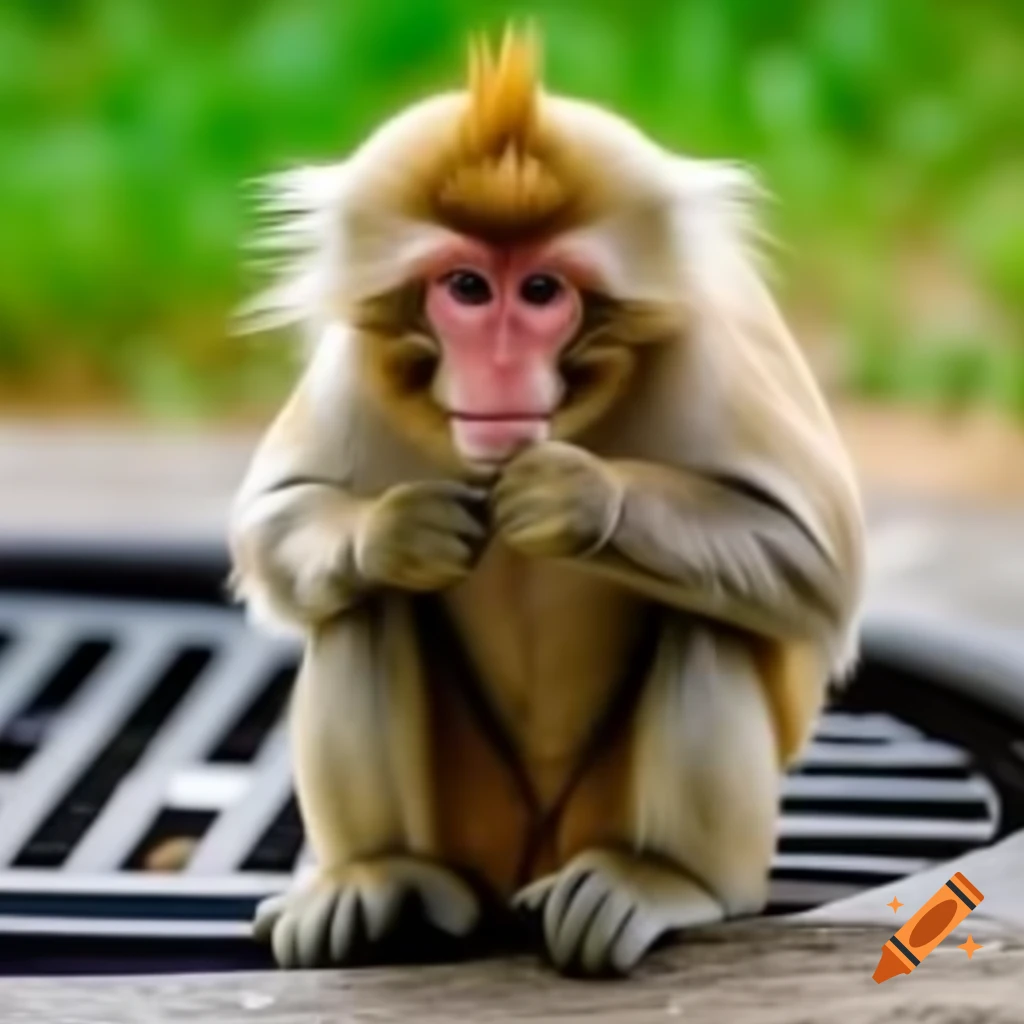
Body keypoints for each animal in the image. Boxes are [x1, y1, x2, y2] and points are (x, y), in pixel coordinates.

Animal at [228, 26, 865, 978]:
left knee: (706, 619)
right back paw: (383, 875)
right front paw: (398, 532)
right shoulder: (362, 367)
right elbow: (273, 521)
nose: (498, 365)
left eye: (539, 292)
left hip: (592, 816)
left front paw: (578, 500)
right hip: (476, 825)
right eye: (466, 288)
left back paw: (661, 878)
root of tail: (530, 859)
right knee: (363, 608)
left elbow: (820, 564)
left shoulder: (707, 343)